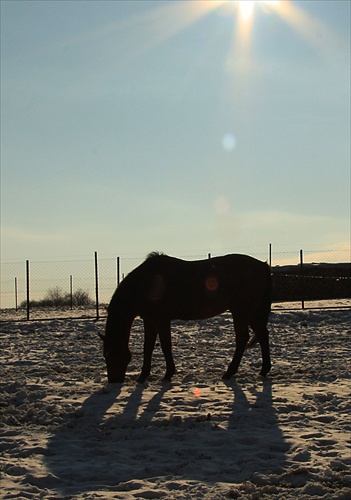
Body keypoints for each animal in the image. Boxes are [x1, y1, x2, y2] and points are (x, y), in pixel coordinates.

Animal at [100, 254, 274, 382]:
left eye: (110, 354)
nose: (113, 381)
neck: (145, 283)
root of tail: (262, 265)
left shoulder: (161, 319)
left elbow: (165, 345)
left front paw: (168, 374)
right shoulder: (150, 319)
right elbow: (148, 346)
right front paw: (144, 375)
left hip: (241, 311)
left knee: (243, 338)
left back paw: (230, 372)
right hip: (250, 313)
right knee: (262, 335)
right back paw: (263, 370)